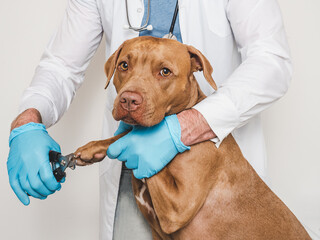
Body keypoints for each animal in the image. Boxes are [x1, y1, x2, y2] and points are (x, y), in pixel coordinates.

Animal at [74, 36, 310, 239]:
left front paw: (138, 147)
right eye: (124, 65)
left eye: (165, 71)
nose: (129, 100)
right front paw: (92, 148)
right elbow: (127, 132)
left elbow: (135, 141)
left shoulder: (178, 207)